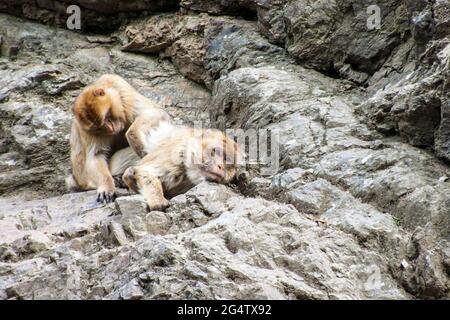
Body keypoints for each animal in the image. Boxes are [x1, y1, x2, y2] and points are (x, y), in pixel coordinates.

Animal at [109, 121, 244, 211]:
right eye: (221, 154)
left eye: (228, 164)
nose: (221, 166)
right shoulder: (175, 155)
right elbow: (146, 172)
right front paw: (157, 200)